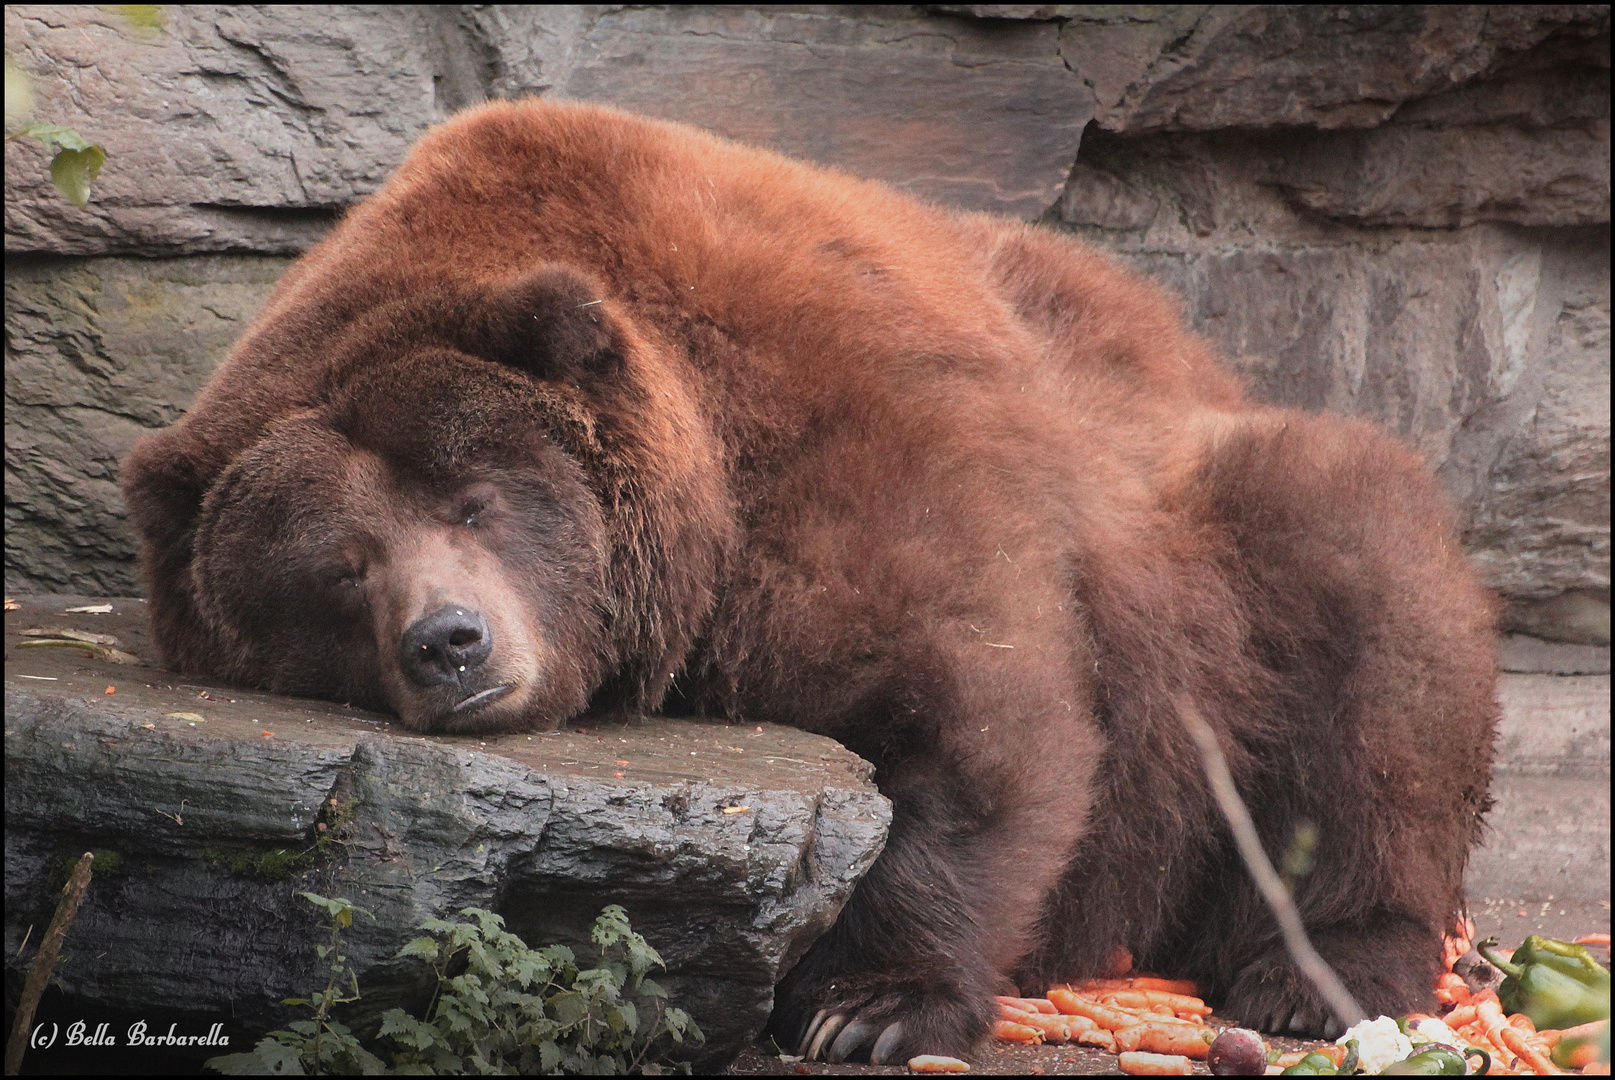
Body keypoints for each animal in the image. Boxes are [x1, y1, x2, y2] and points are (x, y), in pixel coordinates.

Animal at [119, 99, 1498, 1063]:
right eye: (337, 568)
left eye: (475, 499)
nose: (448, 641)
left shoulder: (846, 450)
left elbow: (974, 714)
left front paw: (869, 1007)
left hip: (1210, 538)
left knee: (1362, 591)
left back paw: (1314, 969)